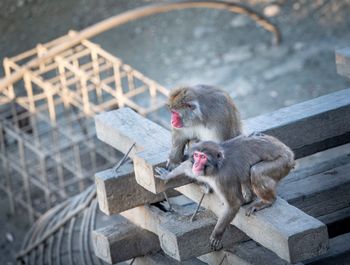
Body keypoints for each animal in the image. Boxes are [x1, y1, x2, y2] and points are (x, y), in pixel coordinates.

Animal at [154, 133, 294, 249]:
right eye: (197, 155)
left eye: (203, 157)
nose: (196, 164)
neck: (215, 167)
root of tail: (288, 152)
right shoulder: (193, 167)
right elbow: (185, 166)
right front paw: (166, 176)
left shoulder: (223, 178)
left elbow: (233, 204)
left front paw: (217, 234)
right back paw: (248, 198)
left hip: (282, 163)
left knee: (256, 171)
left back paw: (267, 201)